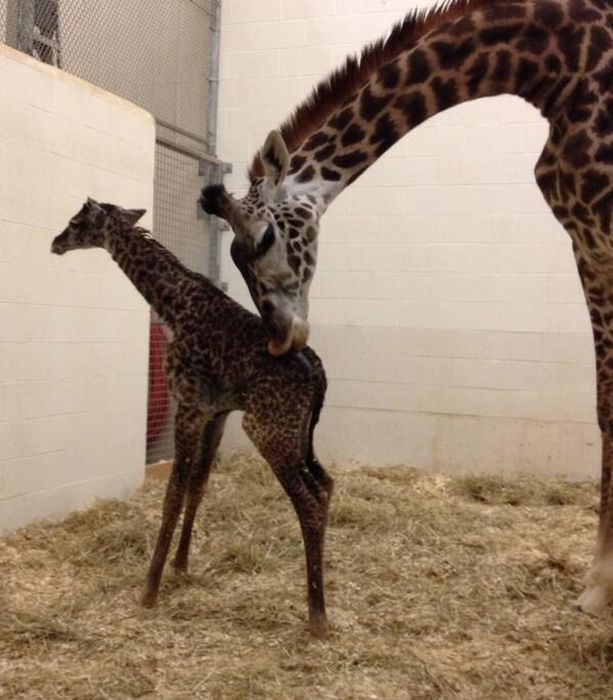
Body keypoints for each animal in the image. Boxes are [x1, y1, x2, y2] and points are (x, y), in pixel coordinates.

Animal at [50, 198, 332, 640]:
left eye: (76, 222)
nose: (55, 243)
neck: (174, 307)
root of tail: (319, 377)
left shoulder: (188, 406)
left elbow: (172, 494)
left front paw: (149, 589)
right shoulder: (216, 413)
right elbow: (198, 486)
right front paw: (180, 565)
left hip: (268, 431)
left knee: (311, 502)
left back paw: (317, 616)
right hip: (302, 436)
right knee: (327, 485)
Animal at [198, 0, 608, 612]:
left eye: (265, 240)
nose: (280, 339)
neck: (553, 63)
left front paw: (601, 586)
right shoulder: (586, 241)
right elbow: (606, 406)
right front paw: (601, 584)